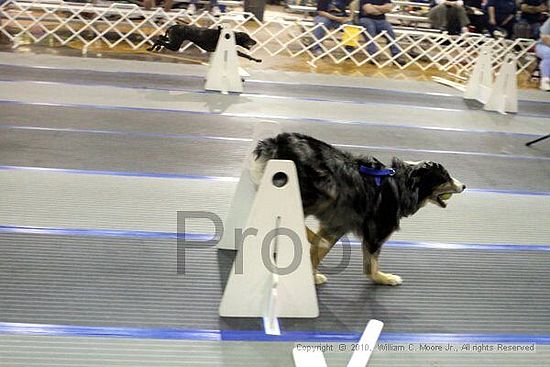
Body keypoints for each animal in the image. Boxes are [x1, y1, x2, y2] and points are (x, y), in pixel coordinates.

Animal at [252, 134, 468, 286]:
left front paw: (312, 276)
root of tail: (279, 141)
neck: (403, 185)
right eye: (446, 177)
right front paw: (384, 278)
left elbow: (317, 254)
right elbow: (371, 265)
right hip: (318, 190)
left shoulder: (335, 226)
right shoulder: (376, 233)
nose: (464, 186)